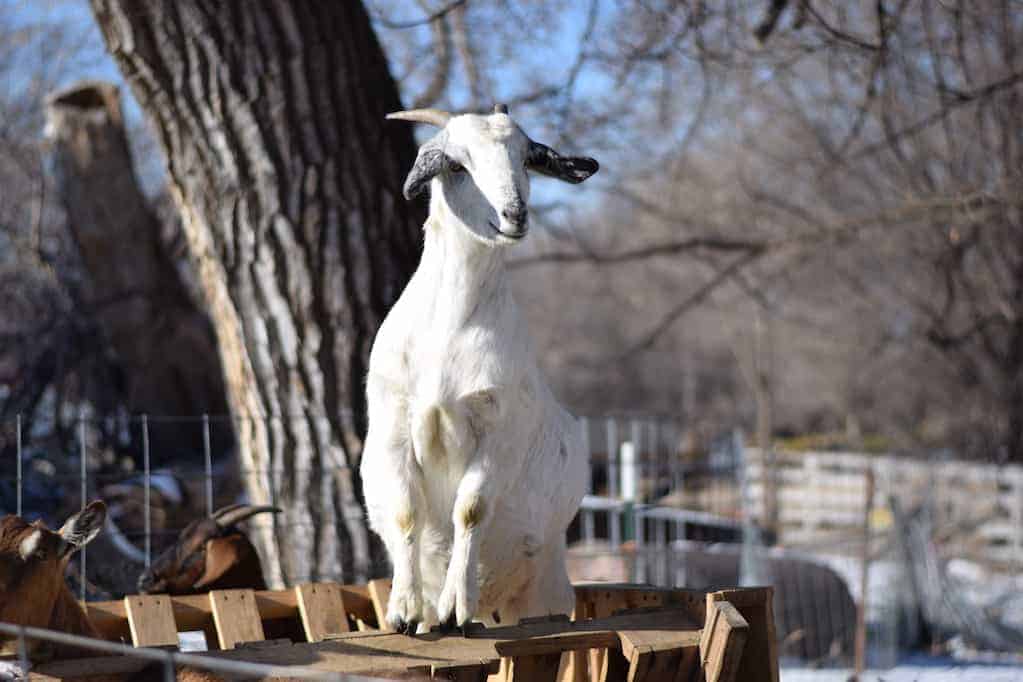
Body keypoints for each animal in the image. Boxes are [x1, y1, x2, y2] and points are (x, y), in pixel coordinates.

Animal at [362, 105, 597, 633]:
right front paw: (402, 610)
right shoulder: (393, 422)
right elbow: (406, 512)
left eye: (527, 158)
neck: (450, 326)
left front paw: (456, 606)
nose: (515, 215)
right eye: (456, 163)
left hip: (546, 591)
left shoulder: (497, 428)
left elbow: (469, 510)